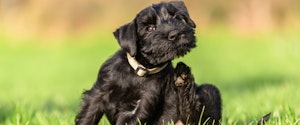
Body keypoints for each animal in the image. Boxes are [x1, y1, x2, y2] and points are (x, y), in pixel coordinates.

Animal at [75, 1, 220, 125]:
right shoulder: (99, 93)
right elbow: (88, 115)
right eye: (150, 28)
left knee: (194, 115)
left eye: (177, 18)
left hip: (209, 90)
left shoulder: (143, 102)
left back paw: (183, 76)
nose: (175, 33)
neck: (139, 70)